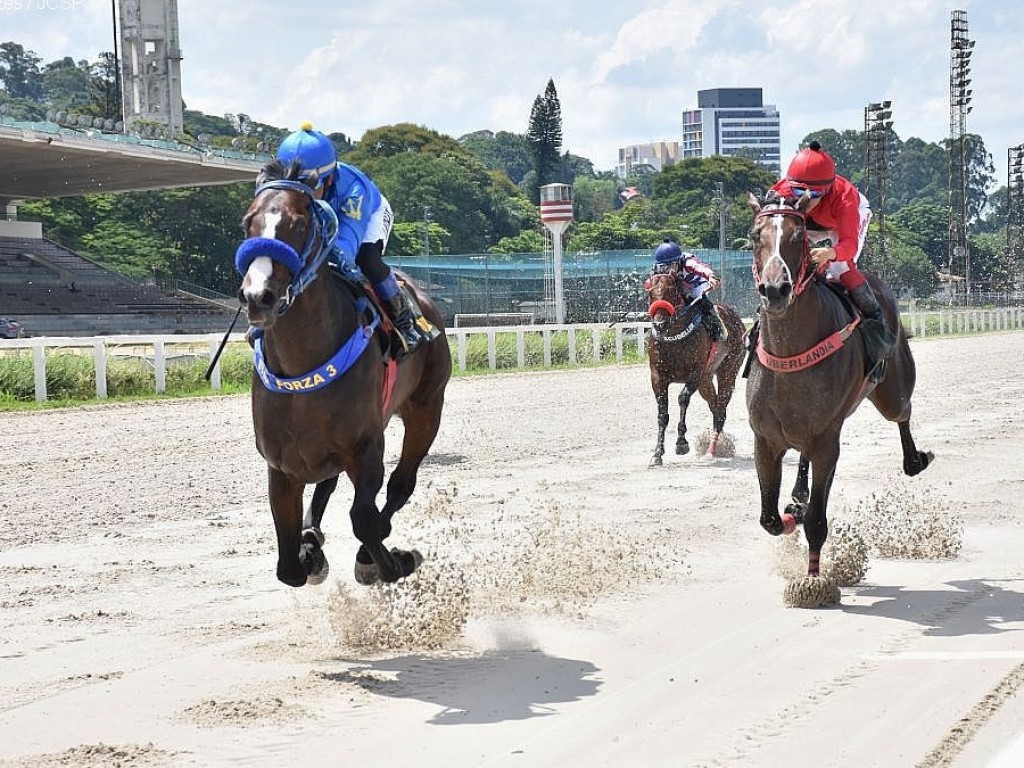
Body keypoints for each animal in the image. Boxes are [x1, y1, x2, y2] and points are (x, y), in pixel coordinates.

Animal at [239, 159, 452, 585]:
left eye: (298, 224)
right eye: (247, 222)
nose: (258, 297)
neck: (303, 370)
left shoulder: (366, 448)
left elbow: (365, 520)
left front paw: (390, 560)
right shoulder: (281, 467)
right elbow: (288, 568)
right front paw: (307, 551)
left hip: (426, 408)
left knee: (400, 485)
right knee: (329, 482)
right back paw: (312, 536)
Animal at [643, 274, 741, 466]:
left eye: (672, 291)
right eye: (651, 293)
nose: (659, 324)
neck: (673, 338)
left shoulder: (695, 374)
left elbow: (682, 399)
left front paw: (681, 443)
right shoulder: (658, 377)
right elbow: (662, 414)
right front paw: (657, 453)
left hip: (728, 372)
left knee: (720, 411)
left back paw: (711, 450)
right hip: (705, 381)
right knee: (715, 407)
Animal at [745, 195, 937, 585]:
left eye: (798, 236)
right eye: (756, 235)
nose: (775, 290)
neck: (789, 359)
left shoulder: (827, 442)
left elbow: (817, 522)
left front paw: (814, 580)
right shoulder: (765, 440)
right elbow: (769, 519)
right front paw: (792, 512)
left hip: (892, 392)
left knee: (904, 412)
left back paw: (916, 460)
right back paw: (798, 496)